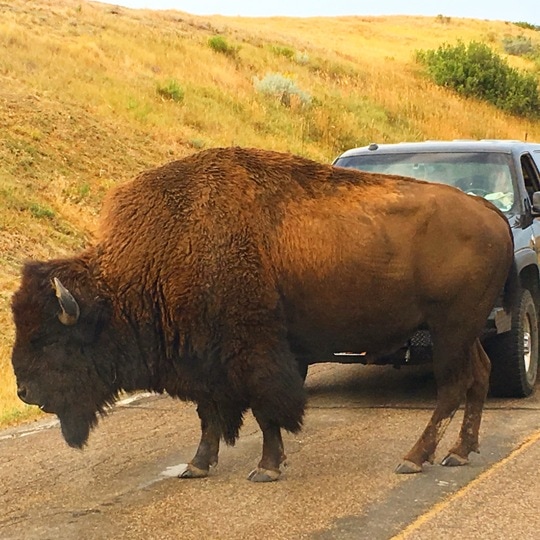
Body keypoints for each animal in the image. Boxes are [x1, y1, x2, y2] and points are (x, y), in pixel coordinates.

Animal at [10, 147, 512, 480]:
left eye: (48, 338)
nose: (24, 391)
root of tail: (491, 212)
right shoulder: (204, 361)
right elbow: (210, 414)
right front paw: (197, 466)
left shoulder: (251, 352)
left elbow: (265, 410)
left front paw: (266, 468)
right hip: (463, 331)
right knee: (480, 375)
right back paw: (461, 452)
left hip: (450, 328)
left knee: (452, 386)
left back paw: (414, 458)